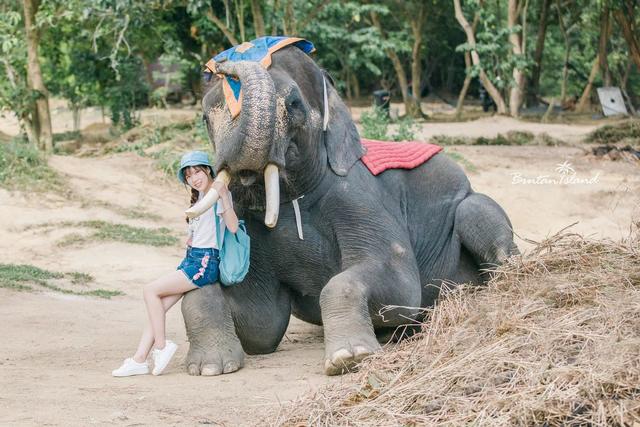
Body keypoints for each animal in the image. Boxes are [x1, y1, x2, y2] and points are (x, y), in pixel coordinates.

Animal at [180, 38, 520, 376]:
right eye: (205, 117)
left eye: (294, 104)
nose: (224, 64)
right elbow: (262, 323)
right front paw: (210, 367)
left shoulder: (359, 197)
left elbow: (400, 287)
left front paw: (349, 358)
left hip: (475, 209)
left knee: (476, 215)